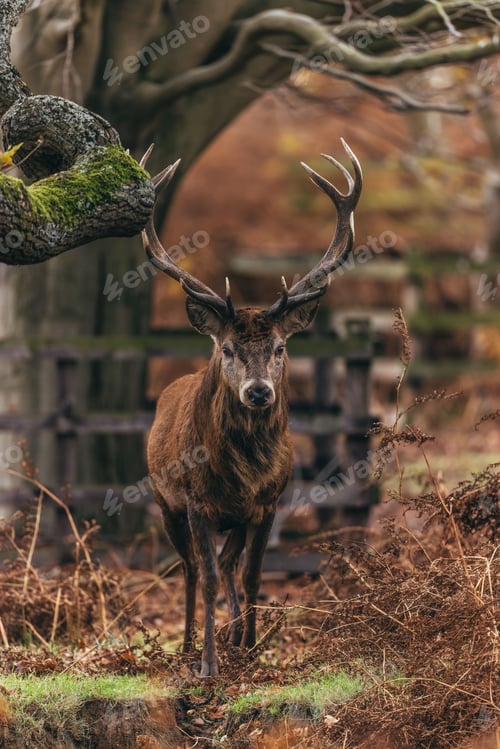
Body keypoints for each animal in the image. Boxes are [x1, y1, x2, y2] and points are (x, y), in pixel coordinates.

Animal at [142, 140, 362, 676]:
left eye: (281, 347)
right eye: (227, 349)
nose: (259, 392)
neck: (243, 471)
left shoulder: (267, 503)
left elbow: (253, 575)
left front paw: (252, 652)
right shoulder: (195, 501)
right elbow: (208, 578)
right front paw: (208, 665)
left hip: (234, 519)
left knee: (226, 564)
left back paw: (236, 636)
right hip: (164, 501)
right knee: (191, 570)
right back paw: (185, 646)